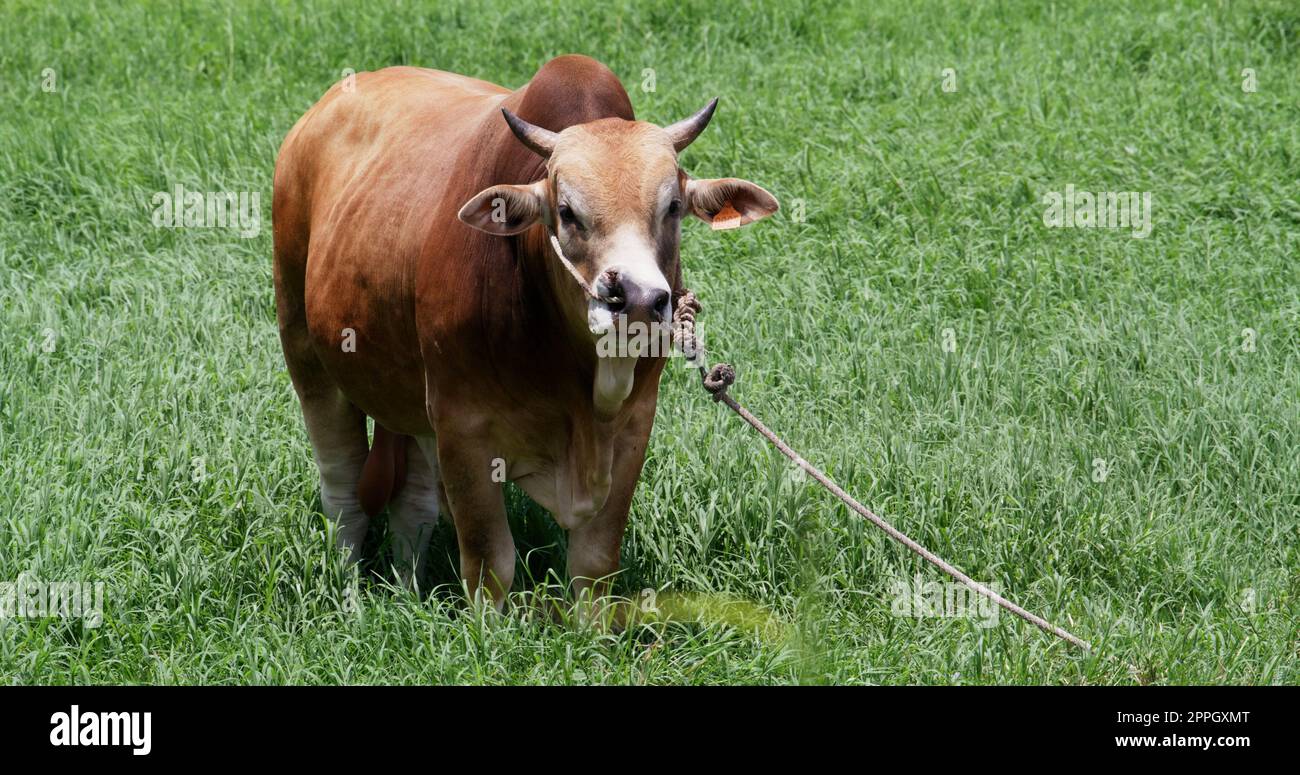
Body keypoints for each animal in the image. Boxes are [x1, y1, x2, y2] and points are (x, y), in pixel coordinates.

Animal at [272, 55, 778, 612]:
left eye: (671, 208)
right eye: (567, 211)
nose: (639, 299)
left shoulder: (634, 425)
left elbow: (594, 563)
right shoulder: (462, 426)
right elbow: (490, 564)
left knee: (414, 502)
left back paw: (407, 590)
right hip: (307, 353)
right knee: (343, 492)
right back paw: (350, 594)